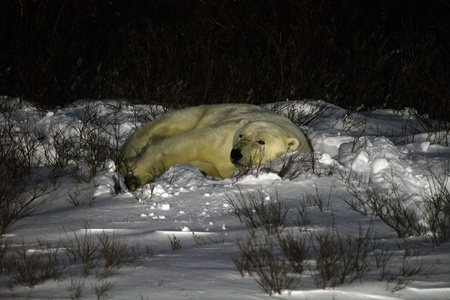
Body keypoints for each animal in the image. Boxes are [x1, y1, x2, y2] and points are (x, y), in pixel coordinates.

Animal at [118, 104, 312, 190]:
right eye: (241, 135)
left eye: (261, 141)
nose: (236, 153)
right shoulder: (225, 136)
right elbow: (187, 144)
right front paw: (133, 174)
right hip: (191, 115)